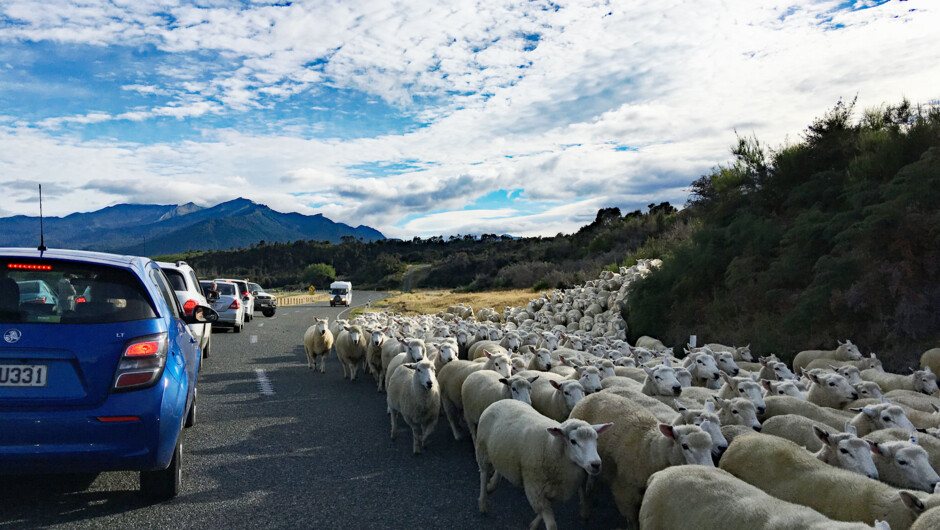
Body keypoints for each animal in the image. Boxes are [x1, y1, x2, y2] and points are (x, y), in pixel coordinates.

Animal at [474, 396, 612, 528]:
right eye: (573, 441)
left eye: (597, 439)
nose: (596, 464)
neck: (550, 445)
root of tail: (502, 400)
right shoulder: (535, 489)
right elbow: (551, 524)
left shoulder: (556, 492)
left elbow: (543, 513)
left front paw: (533, 525)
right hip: (482, 449)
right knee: (483, 473)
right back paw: (483, 502)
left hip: (502, 452)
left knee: (499, 466)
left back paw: (492, 485)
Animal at [568, 388, 716, 524]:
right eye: (685, 446)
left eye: (710, 446)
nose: (708, 468)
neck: (650, 450)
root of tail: (592, 395)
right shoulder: (626, 493)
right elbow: (633, 521)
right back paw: (585, 509)